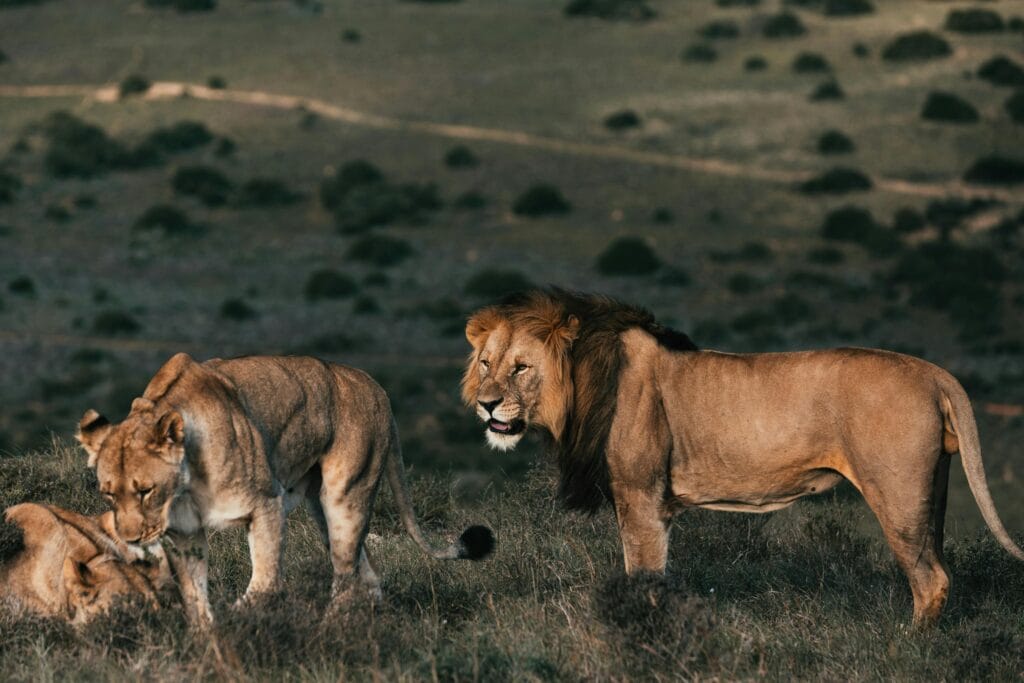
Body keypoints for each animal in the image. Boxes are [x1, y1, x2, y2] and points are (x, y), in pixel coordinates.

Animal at [77, 353, 494, 627]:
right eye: (108, 494)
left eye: (145, 490)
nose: (131, 538)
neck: (185, 484)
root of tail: (377, 388)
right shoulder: (185, 534)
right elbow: (195, 597)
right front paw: (208, 643)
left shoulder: (266, 505)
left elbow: (265, 582)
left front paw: (238, 619)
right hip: (321, 509)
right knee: (367, 572)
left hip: (346, 496)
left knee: (345, 575)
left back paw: (331, 629)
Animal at [462, 289, 1024, 626]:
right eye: (486, 363)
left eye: (520, 368)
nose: (487, 404)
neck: (581, 385)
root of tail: (934, 372)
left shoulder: (641, 498)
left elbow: (643, 574)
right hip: (934, 492)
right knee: (941, 569)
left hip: (898, 495)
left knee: (931, 580)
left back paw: (908, 646)